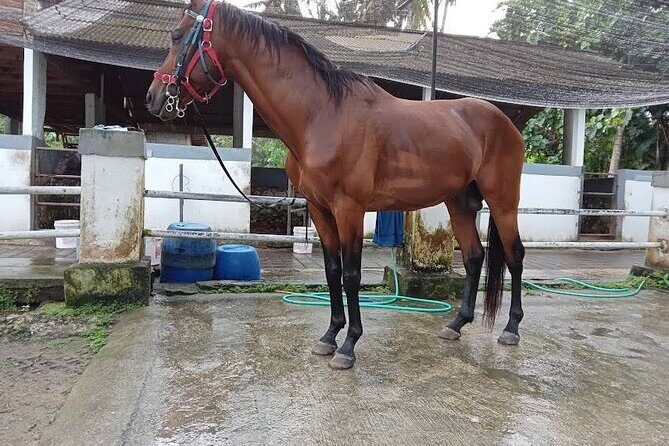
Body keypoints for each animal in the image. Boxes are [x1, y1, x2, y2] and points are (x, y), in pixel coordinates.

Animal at [146, 0, 526, 370]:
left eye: (177, 35)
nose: (154, 97)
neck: (322, 116)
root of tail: (505, 123)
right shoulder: (319, 209)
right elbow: (332, 272)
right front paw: (329, 337)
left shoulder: (349, 209)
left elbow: (351, 275)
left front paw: (348, 346)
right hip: (459, 202)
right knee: (474, 256)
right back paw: (456, 324)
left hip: (503, 201)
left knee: (514, 256)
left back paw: (510, 329)